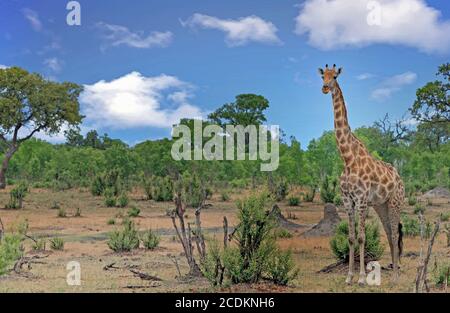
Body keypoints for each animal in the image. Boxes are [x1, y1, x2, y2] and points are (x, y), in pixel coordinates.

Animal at [318, 64, 406, 284]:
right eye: (323, 76)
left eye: (335, 76)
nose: (325, 87)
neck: (347, 159)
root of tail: (400, 179)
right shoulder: (348, 200)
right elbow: (350, 238)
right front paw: (349, 277)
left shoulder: (362, 199)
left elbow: (361, 237)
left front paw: (361, 278)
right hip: (382, 205)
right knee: (389, 233)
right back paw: (393, 271)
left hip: (395, 202)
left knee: (394, 235)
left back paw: (396, 277)